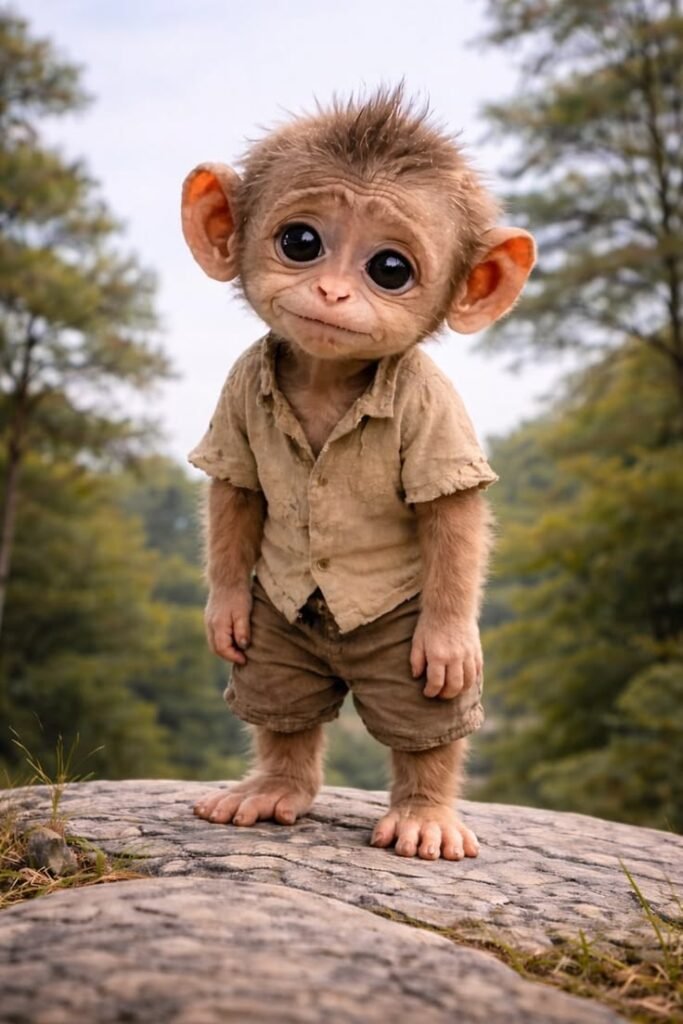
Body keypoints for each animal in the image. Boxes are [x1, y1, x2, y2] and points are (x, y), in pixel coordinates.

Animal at [183, 89, 535, 861]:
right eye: (300, 242)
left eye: (390, 269)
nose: (333, 293)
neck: (326, 381)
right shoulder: (236, 396)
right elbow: (236, 490)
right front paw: (222, 611)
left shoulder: (433, 411)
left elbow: (452, 512)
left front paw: (450, 641)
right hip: (280, 637)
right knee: (282, 707)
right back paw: (273, 789)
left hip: (402, 642)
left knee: (423, 722)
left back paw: (424, 817)